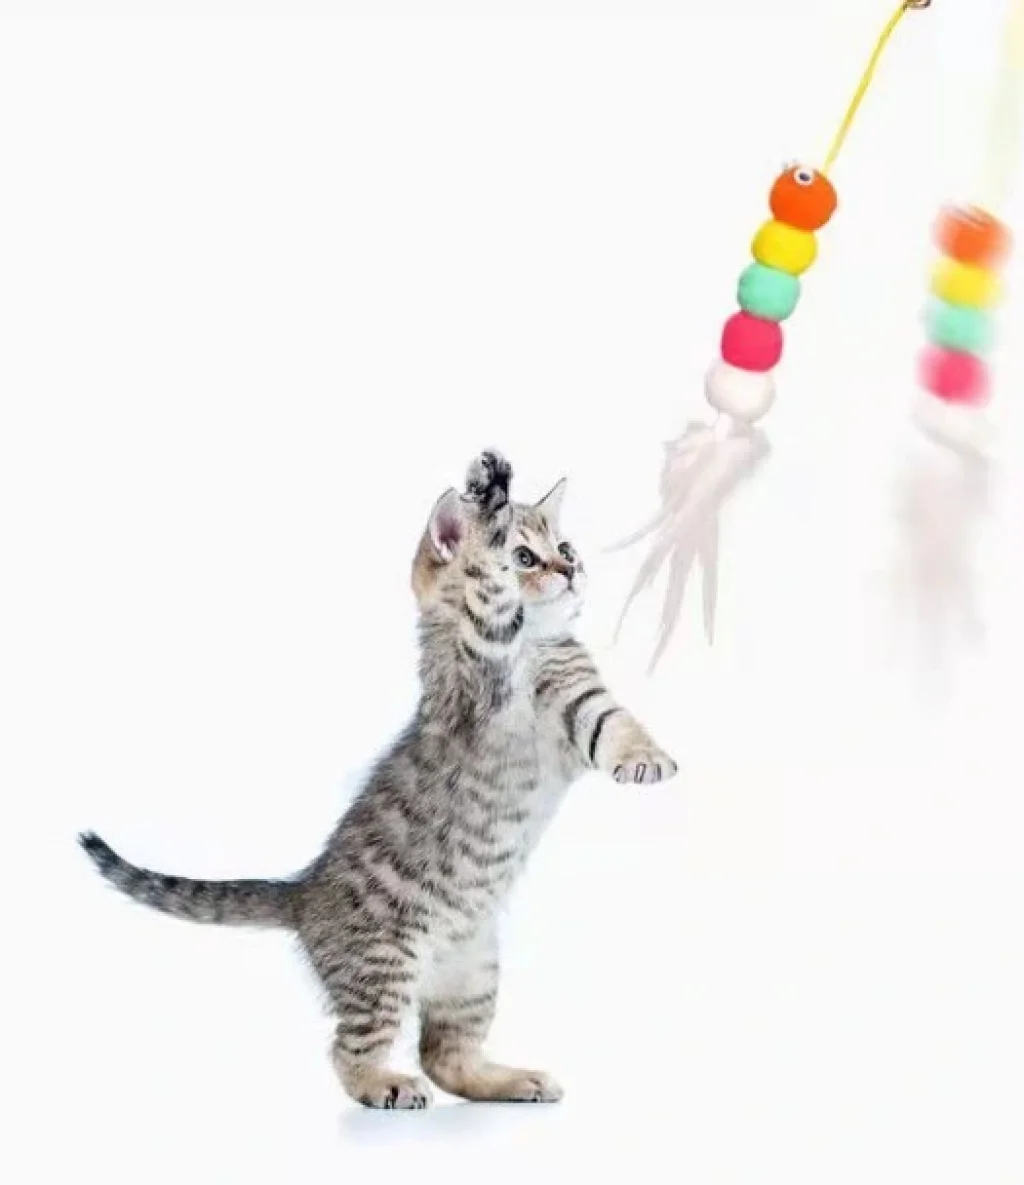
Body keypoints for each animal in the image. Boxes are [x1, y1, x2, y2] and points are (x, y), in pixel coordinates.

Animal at [80, 450, 677, 1110]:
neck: (533, 652)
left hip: (472, 971)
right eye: (524, 556)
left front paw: (648, 758)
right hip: (385, 963)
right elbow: (489, 598)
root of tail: (303, 891)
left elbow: (619, 727)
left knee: (447, 1056)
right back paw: (386, 1083)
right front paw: (492, 494)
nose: (571, 569)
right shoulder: (482, 673)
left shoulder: (583, 700)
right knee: (350, 1051)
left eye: (565, 547)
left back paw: (510, 1079)